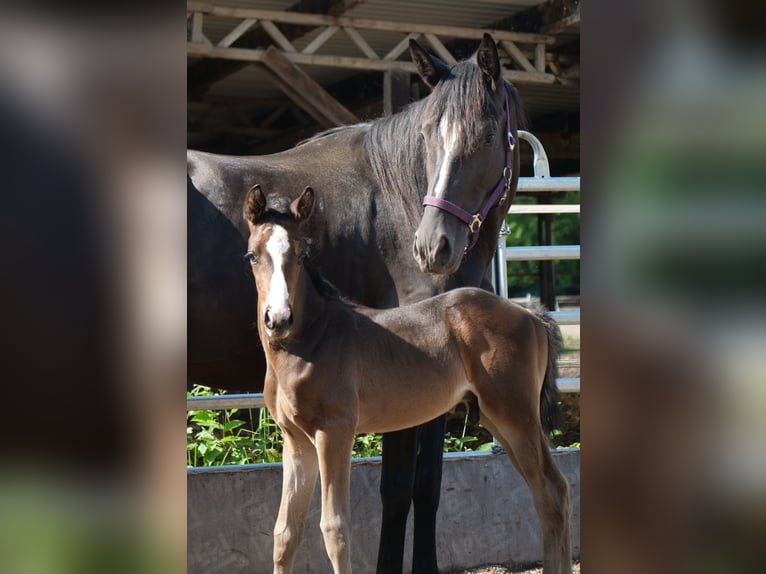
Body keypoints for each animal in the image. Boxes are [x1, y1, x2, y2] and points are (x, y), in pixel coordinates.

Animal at [243, 186, 572, 574]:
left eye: (301, 253)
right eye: (252, 255)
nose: (278, 319)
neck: (311, 340)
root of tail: (530, 314)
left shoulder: (334, 432)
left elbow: (334, 528)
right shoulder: (296, 441)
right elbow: (285, 533)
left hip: (516, 416)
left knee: (552, 491)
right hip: (497, 419)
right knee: (548, 493)